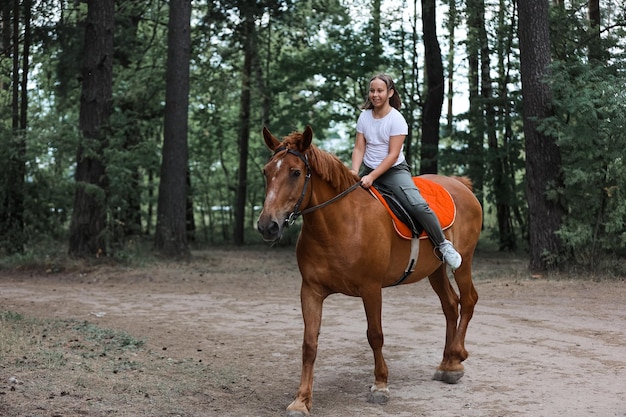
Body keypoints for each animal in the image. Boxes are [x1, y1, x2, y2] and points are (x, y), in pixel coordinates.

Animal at [256, 127, 480, 416]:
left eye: (295, 172)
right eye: (266, 171)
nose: (267, 226)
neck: (338, 225)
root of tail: (459, 184)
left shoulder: (371, 289)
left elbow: (375, 335)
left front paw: (380, 385)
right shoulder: (311, 290)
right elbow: (309, 343)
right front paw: (301, 400)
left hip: (463, 262)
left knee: (468, 300)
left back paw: (456, 359)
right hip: (436, 270)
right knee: (451, 305)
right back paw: (447, 363)